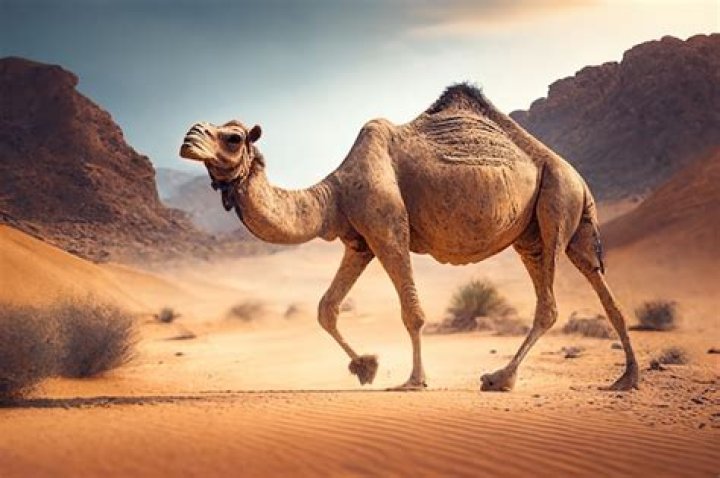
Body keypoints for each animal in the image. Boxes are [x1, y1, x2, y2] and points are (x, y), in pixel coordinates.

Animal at [179, 84, 639, 392]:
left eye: (233, 137)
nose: (188, 137)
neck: (335, 194)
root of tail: (580, 178)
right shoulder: (359, 241)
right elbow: (326, 308)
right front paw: (366, 367)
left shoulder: (388, 229)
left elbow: (412, 312)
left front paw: (413, 380)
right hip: (547, 232)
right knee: (602, 293)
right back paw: (626, 379)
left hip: (557, 200)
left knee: (550, 306)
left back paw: (500, 378)